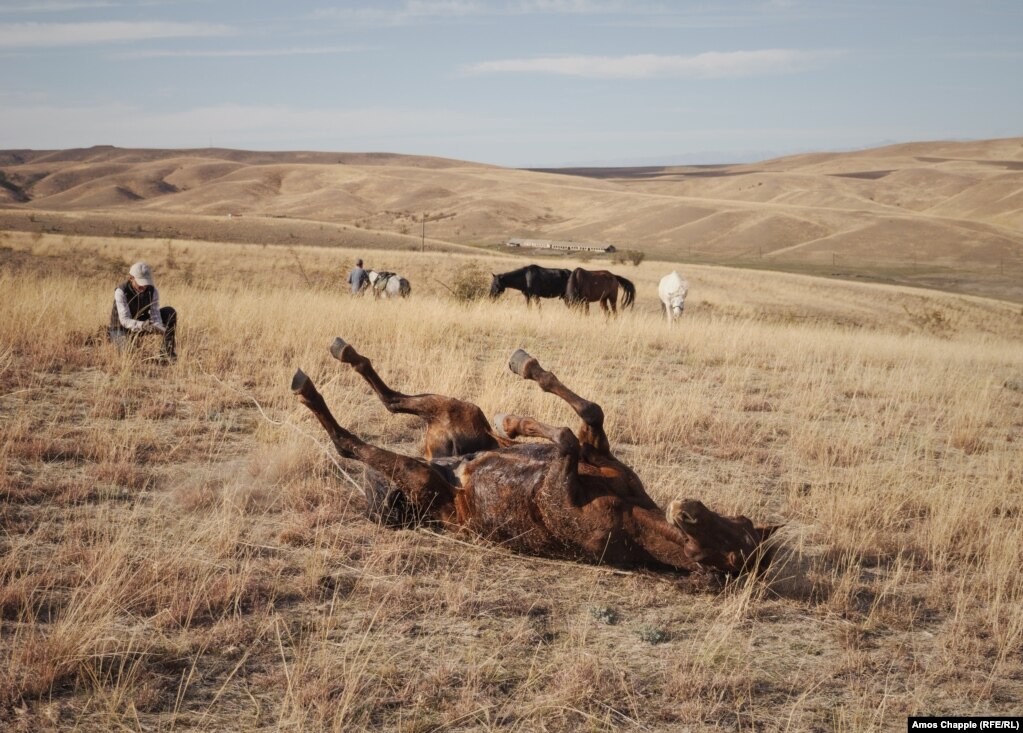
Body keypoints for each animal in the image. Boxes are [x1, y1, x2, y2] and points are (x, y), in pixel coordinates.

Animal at [290, 339, 773, 576]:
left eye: (732, 552)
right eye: (740, 522)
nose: (686, 508)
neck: (631, 513)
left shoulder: (559, 490)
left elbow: (567, 437)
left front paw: (517, 424)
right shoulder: (599, 454)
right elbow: (587, 415)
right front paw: (516, 415)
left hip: (423, 478)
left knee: (349, 441)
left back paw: (308, 389)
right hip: (459, 410)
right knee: (391, 400)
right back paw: (340, 354)